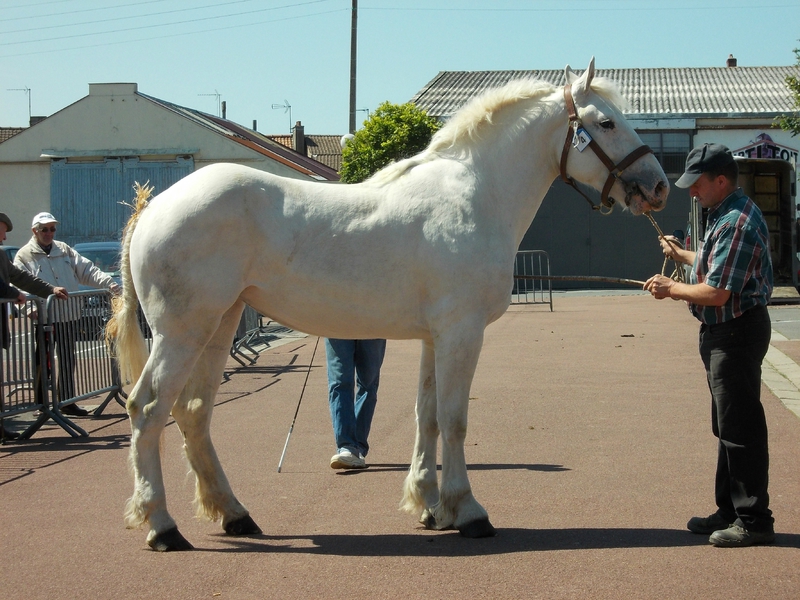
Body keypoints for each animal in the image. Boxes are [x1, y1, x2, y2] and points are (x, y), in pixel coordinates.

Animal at [106, 58, 668, 552]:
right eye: (606, 122)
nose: (657, 186)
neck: (476, 196)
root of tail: (153, 205)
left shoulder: (434, 338)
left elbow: (428, 416)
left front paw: (429, 507)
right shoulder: (462, 333)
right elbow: (455, 418)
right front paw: (468, 512)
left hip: (219, 325)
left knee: (193, 412)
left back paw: (235, 515)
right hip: (183, 331)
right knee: (148, 408)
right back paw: (163, 527)